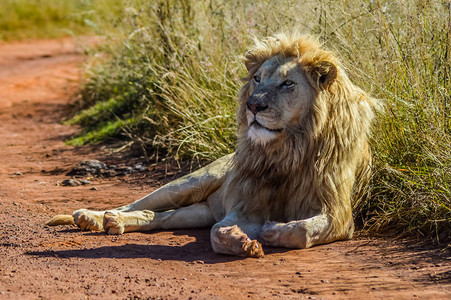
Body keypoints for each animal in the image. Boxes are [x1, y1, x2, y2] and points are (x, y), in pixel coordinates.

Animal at [46, 32, 378, 258]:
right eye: (257, 79)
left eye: (288, 83)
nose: (252, 105)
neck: (287, 148)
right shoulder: (245, 203)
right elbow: (218, 233)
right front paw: (242, 241)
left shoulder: (338, 214)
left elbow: (302, 229)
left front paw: (273, 231)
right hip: (192, 181)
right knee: (137, 203)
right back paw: (94, 217)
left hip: (200, 210)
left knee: (161, 218)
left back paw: (114, 224)